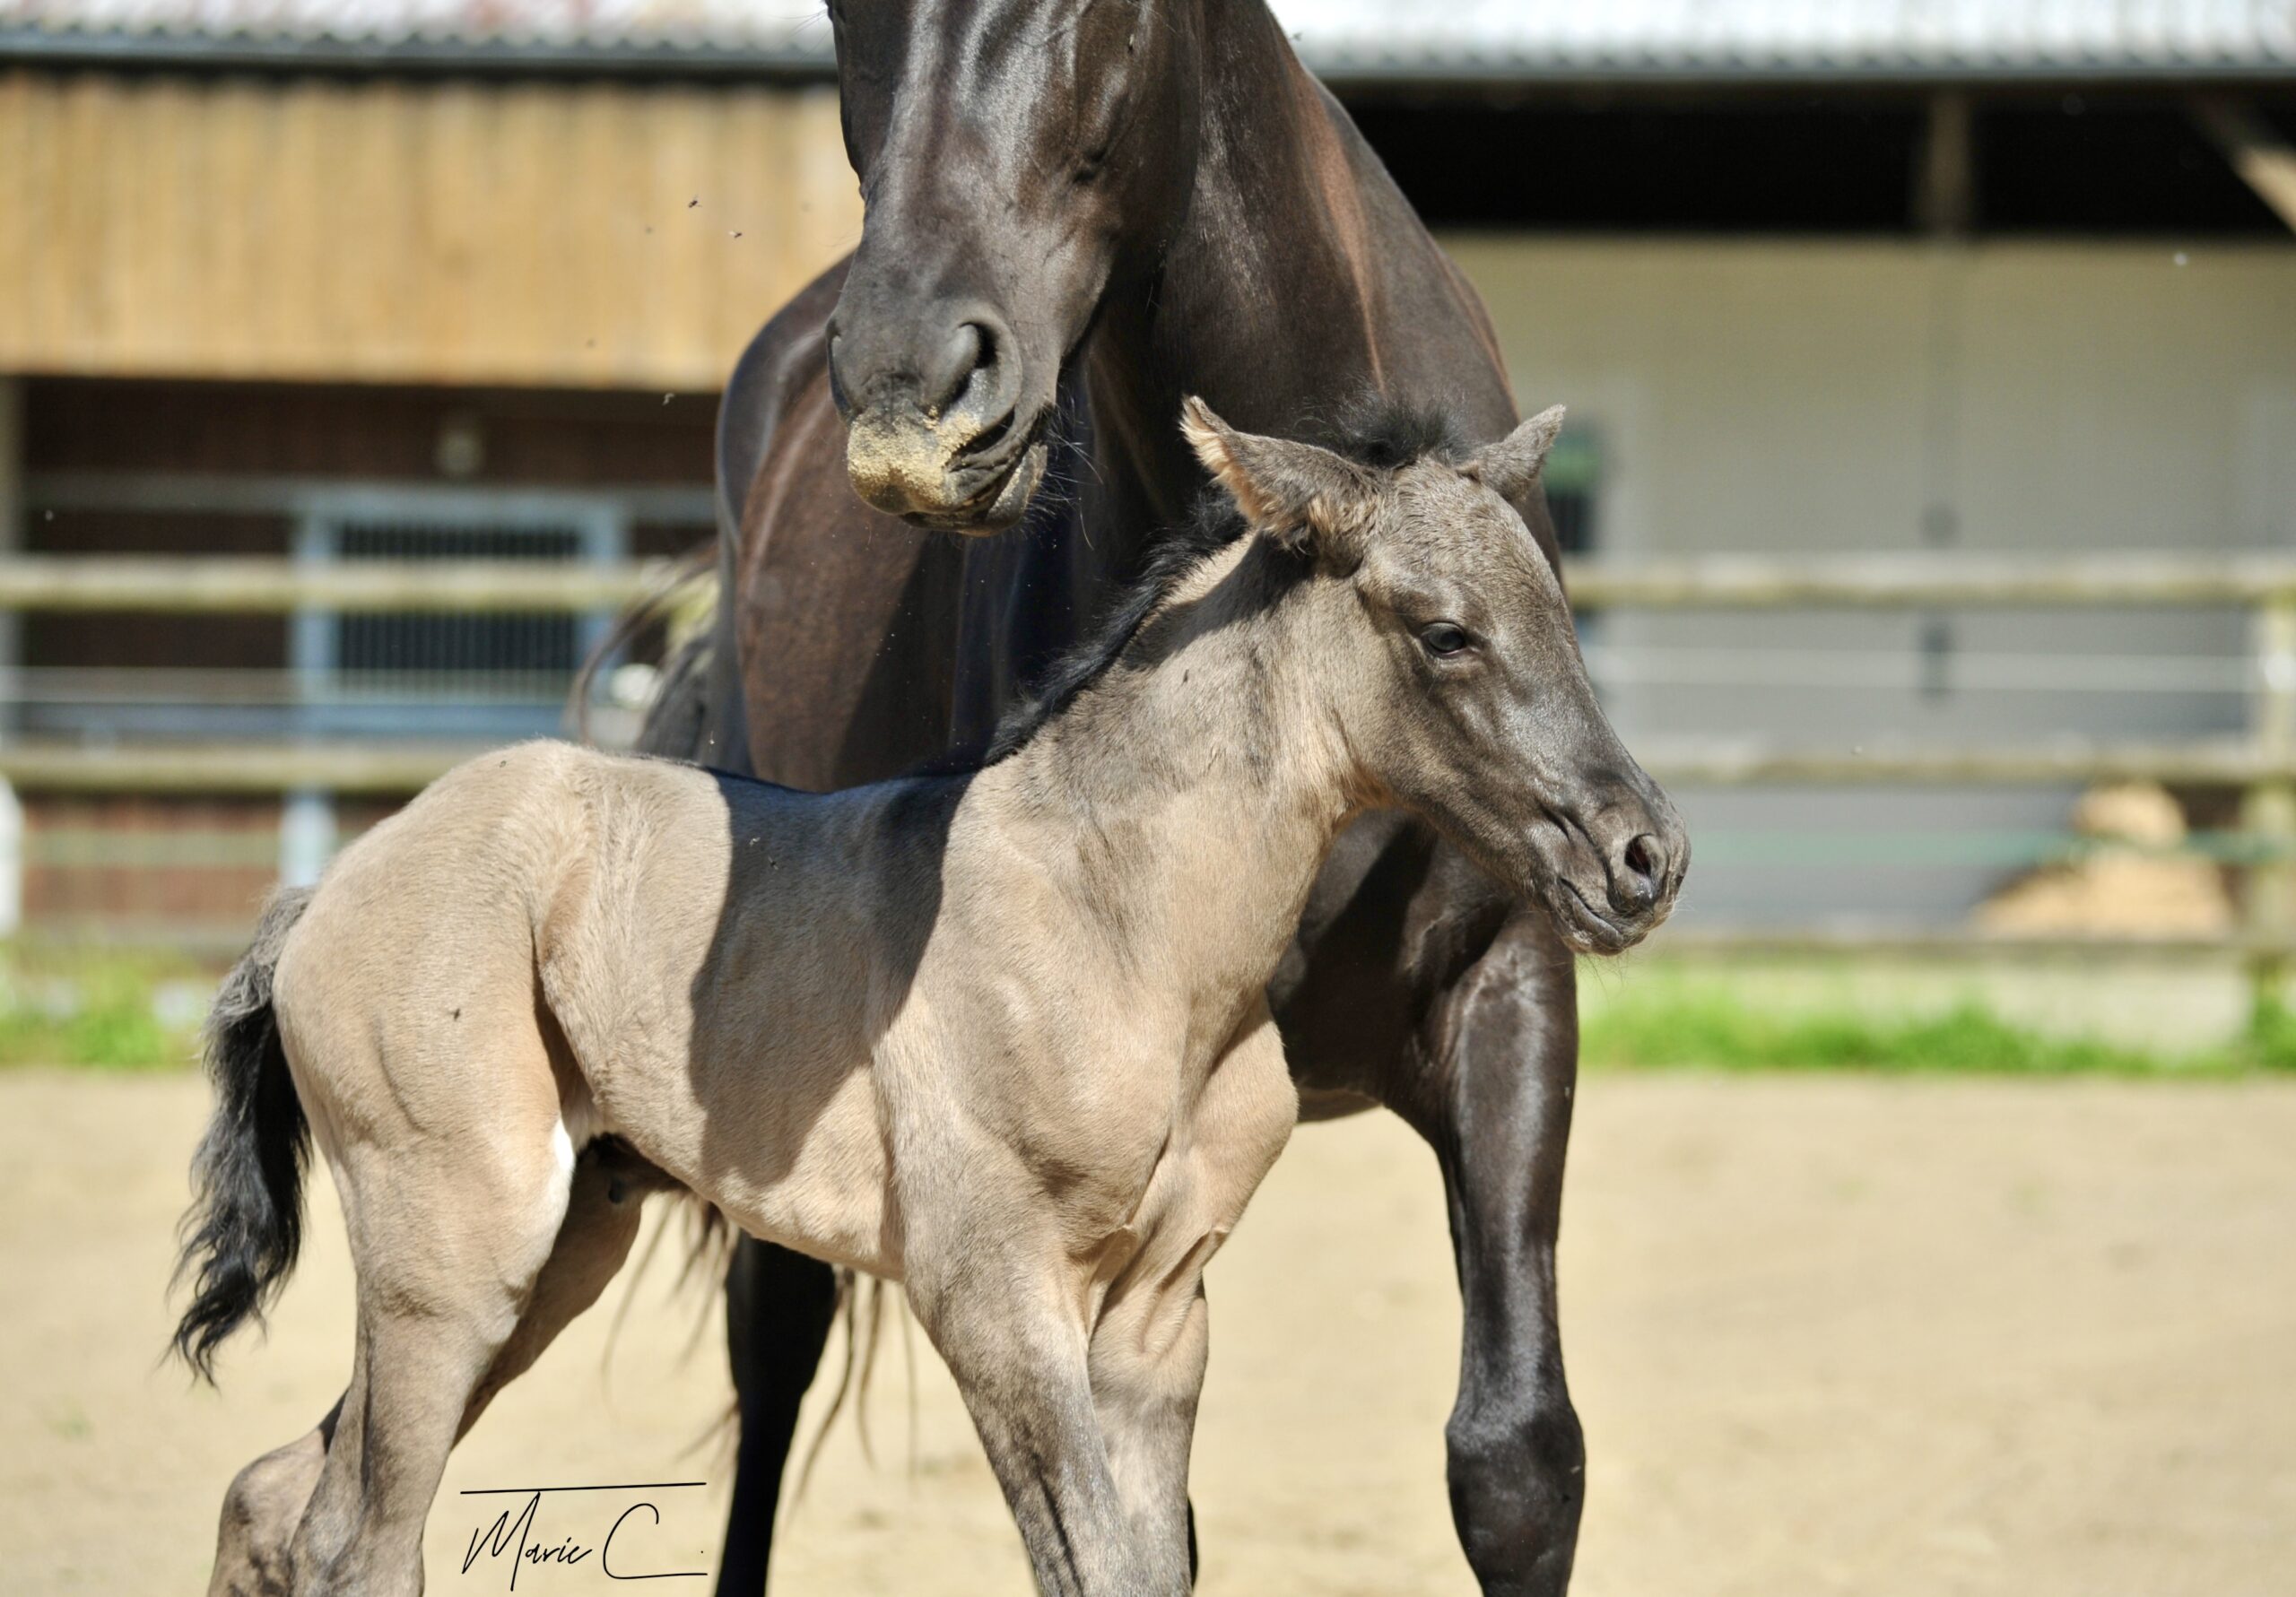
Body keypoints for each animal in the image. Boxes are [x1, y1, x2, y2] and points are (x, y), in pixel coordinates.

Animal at [178, 399, 1680, 1597]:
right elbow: (1091, 1566)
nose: (1644, 856)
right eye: (1447, 634)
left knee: (276, 1493)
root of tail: (324, 894)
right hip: (456, 1241)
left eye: (1560, 615)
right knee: (360, 1539)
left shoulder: (1157, 1315)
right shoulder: (991, 1290)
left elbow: (1146, 1568)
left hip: (562, 1245)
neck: (1119, 920)